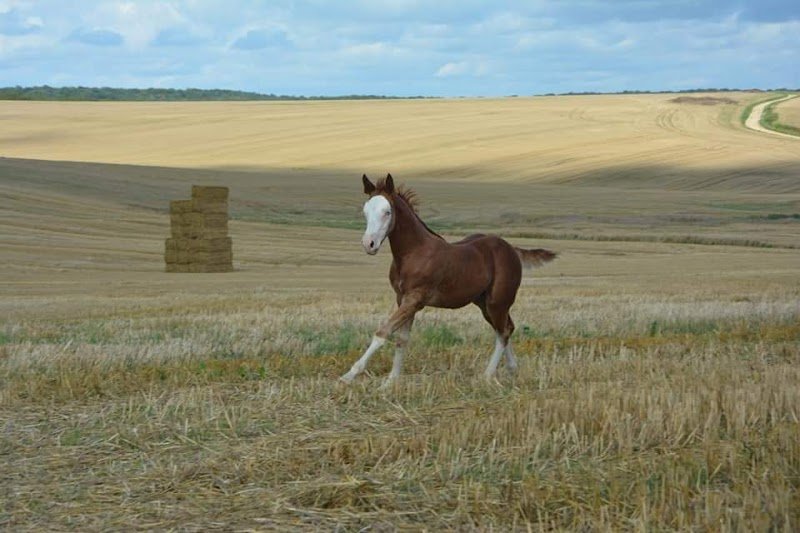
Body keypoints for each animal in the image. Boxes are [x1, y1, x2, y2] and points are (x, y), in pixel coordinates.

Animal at [340, 173, 556, 387]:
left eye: (387, 212)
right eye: (366, 211)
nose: (369, 244)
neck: (414, 253)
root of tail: (512, 249)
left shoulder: (415, 299)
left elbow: (383, 333)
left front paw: (349, 375)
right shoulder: (402, 299)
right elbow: (402, 339)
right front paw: (391, 381)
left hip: (498, 302)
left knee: (503, 332)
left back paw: (487, 375)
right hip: (484, 303)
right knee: (505, 328)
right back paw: (512, 368)